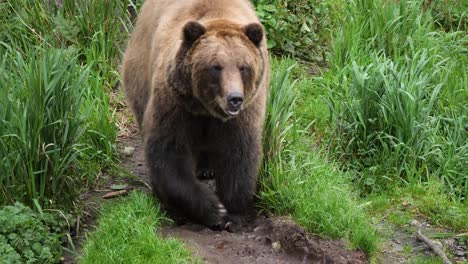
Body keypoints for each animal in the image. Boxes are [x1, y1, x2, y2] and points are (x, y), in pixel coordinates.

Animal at [122, 0, 268, 229]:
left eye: (243, 66)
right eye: (216, 66)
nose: (234, 98)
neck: (206, 108)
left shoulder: (243, 114)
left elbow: (239, 155)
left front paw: (231, 212)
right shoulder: (175, 104)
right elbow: (169, 155)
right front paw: (213, 209)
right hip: (140, 70)